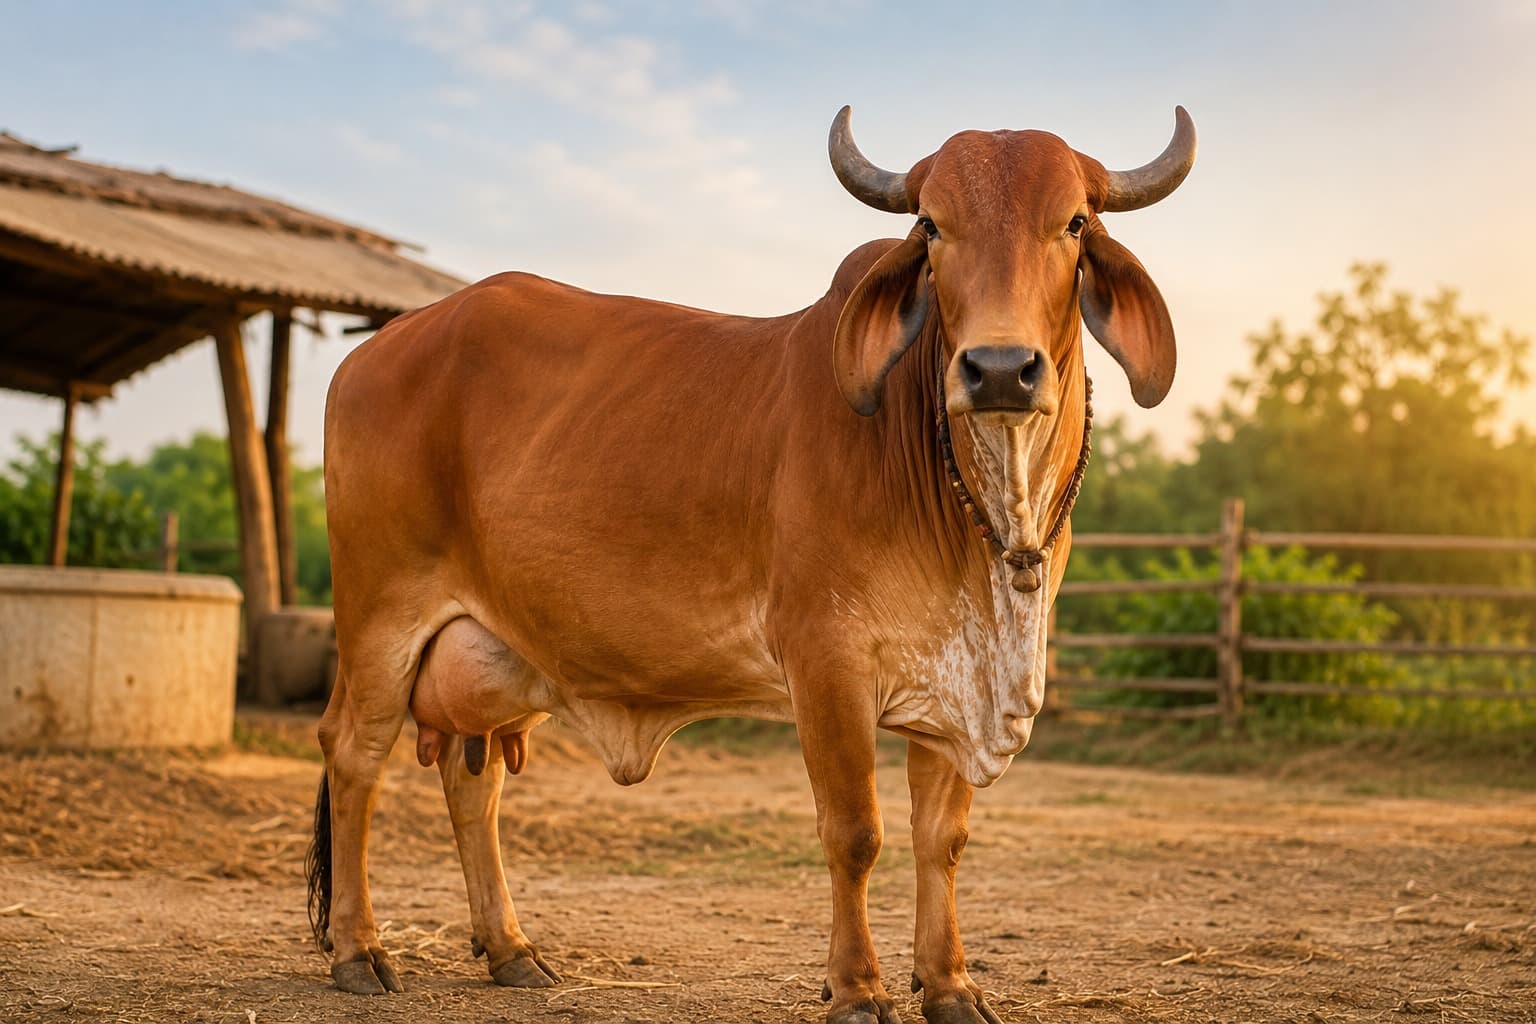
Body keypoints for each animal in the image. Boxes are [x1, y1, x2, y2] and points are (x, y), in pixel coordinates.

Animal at [307, 105, 1195, 1024]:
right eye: (931, 225)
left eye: (1075, 223)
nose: (997, 371)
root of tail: (376, 349)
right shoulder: (826, 662)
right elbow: (856, 834)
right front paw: (857, 990)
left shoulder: (954, 686)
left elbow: (941, 842)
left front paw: (950, 984)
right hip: (380, 620)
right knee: (353, 755)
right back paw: (360, 950)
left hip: (498, 649)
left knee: (469, 782)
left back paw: (511, 949)